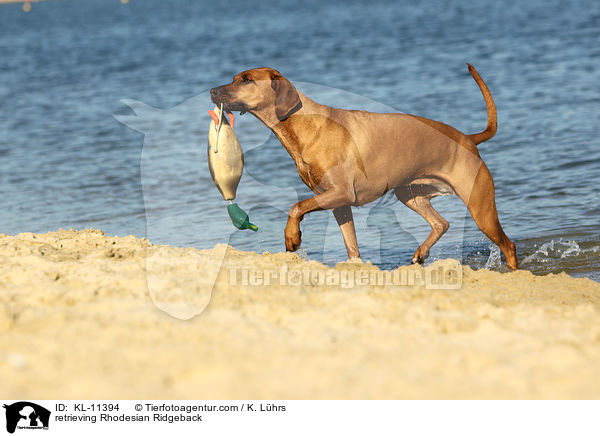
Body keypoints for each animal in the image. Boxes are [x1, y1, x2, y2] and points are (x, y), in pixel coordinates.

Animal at [210, 65, 516, 270]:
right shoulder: (337, 202)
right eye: (235, 78)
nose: (212, 90)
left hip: (480, 206)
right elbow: (351, 244)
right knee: (441, 223)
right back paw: (421, 252)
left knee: (507, 244)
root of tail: (468, 138)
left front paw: (292, 237)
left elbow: (296, 207)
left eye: (247, 80)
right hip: (410, 193)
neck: (303, 124)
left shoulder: (341, 193)